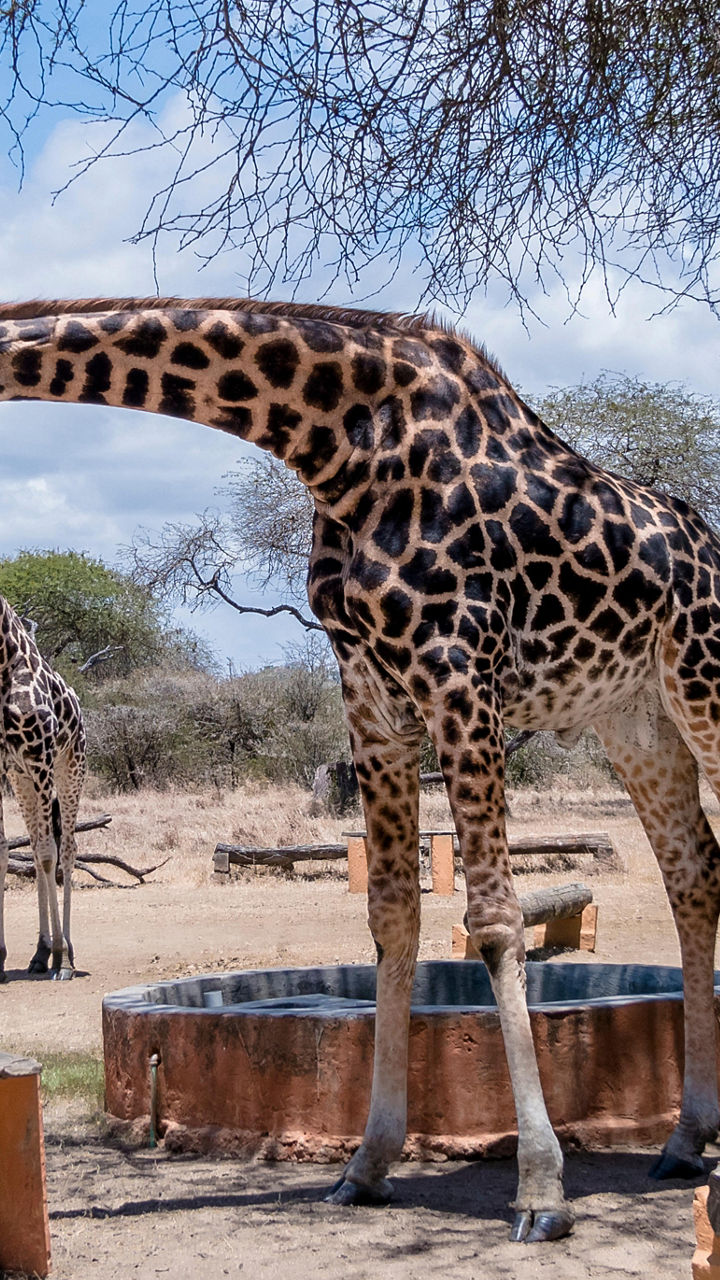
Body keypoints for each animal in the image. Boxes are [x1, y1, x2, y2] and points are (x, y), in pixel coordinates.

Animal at [0, 298, 719, 1241]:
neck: (335, 441)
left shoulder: (458, 671)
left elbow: (494, 921)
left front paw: (541, 1188)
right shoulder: (372, 697)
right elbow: (392, 918)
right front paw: (368, 1163)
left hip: (702, 686)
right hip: (636, 719)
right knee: (694, 875)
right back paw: (686, 1139)